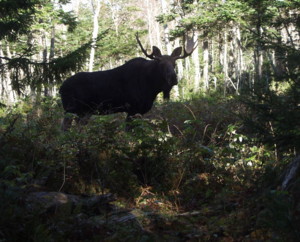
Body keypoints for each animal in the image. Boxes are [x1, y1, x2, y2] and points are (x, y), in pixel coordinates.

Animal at [59, 34, 196, 130]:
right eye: (161, 64)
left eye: (174, 63)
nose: (173, 78)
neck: (152, 88)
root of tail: (61, 89)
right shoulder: (132, 108)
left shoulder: (139, 110)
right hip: (71, 109)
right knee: (65, 128)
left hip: (82, 112)